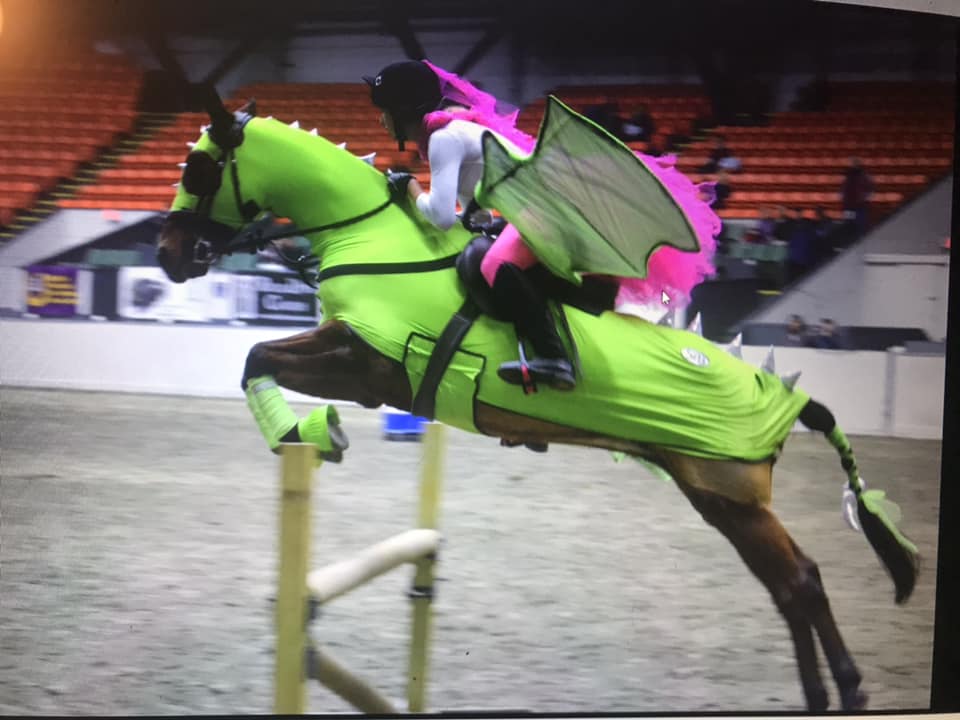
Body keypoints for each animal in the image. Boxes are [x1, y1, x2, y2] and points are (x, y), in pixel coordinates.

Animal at [155, 89, 919, 712]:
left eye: (197, 173)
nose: (167, 255)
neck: (370, 233)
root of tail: (788, 398)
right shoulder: (358, 359)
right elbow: (259, 358)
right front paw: (315, 432)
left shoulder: (370, 366)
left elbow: (259, 357)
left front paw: (309, 434)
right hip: (720, 500)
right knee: (794, 584)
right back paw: (825, 693)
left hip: (730, 494)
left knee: (801, 583)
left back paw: (846, 689)